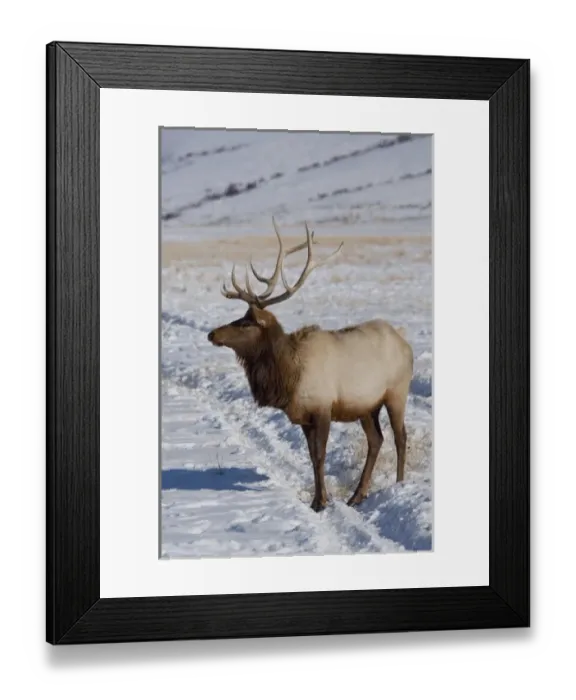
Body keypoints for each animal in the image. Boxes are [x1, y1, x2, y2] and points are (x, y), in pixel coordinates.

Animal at [207, 220, 414, 512]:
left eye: (247, 323)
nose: (212, 334)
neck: (288, 375)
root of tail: (405, 344)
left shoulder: (322, 407)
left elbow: (319, 455)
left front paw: (321, 502)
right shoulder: (304, 416)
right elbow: (311, 456)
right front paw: (321, 498)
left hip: (397, 392)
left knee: (400, 437)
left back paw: (398, 484)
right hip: (366, 405)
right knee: (376, 440)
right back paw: (357, 495)